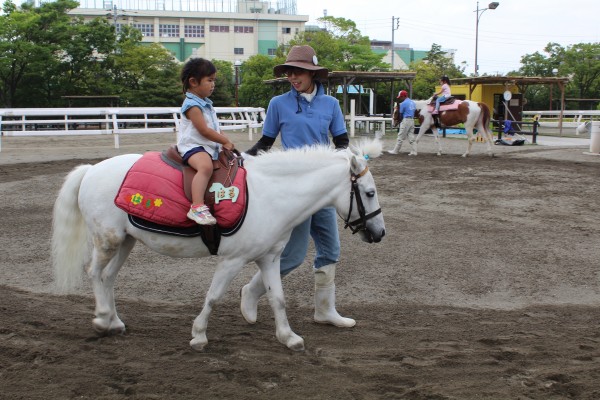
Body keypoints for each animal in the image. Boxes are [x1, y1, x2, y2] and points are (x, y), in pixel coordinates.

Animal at [54, 139, 386, 352]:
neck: (270, 194)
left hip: (126, 241)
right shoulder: (231, 260)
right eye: (369, 193)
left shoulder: (269, 259)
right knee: (94, 274)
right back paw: (101, 319)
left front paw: (288, 337)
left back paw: (114, 321)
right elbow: (213, 296)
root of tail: (91, 170)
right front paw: (199, 335)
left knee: (108, 277)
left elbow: (277, 298)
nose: (380, 232)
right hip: (108, 240)